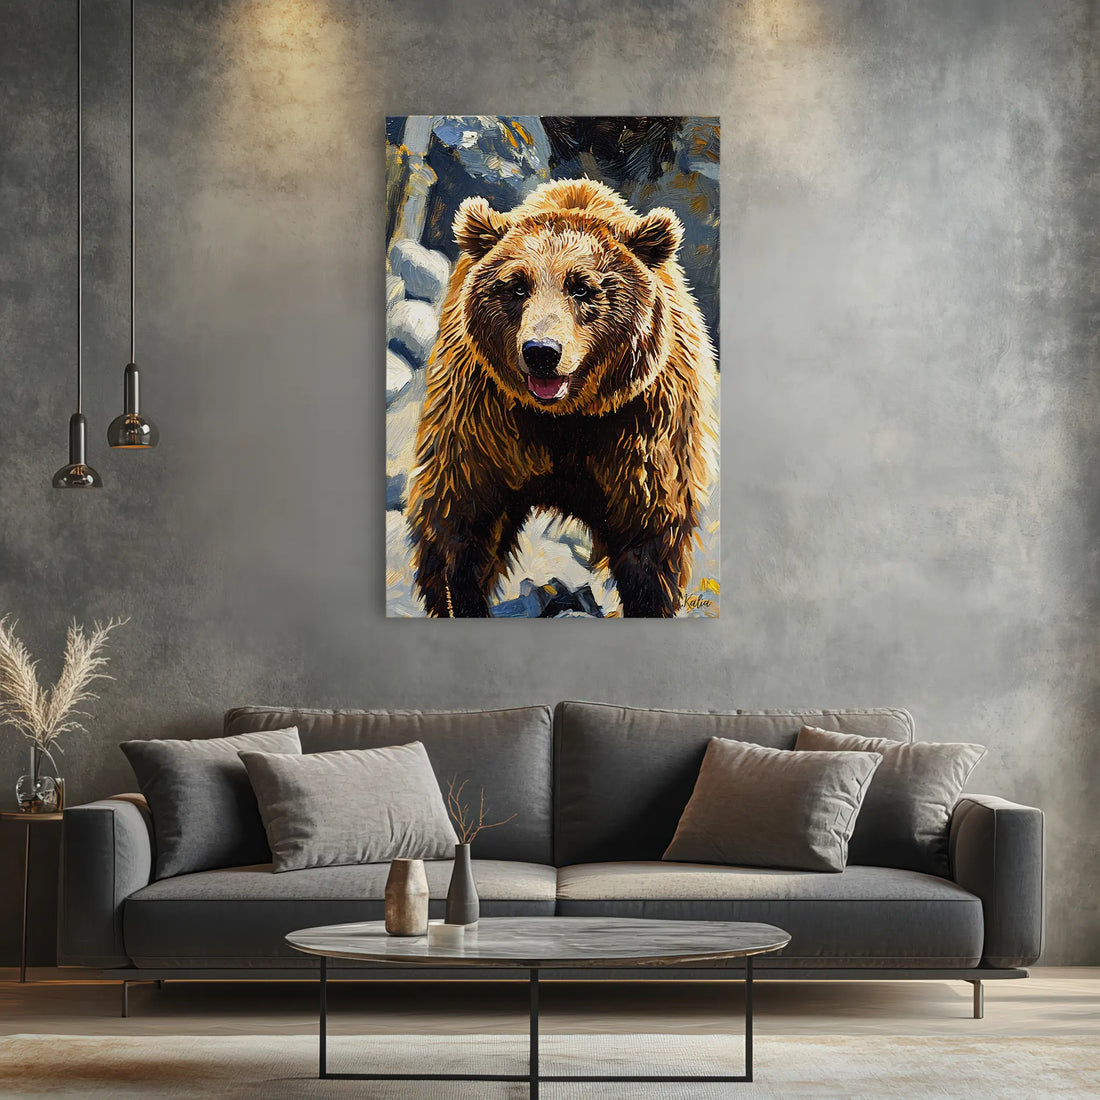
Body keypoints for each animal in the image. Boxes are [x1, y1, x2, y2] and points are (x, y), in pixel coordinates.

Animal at [406, 177, 717, 618]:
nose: (541, 351)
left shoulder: (640, 425)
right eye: (517, 285)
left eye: (582, 287)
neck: (568, 413)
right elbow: (462, 517)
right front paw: (461, 600)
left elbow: (648, 538)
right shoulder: (484, 415)